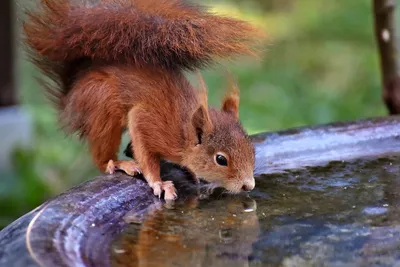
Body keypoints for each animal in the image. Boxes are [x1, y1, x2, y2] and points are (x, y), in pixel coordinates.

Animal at [23, 0, 264, 201]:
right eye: (221, 159)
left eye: (252, 150)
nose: (248, 186)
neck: (182, 129)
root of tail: (72, 92)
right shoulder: (147, 120)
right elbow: (146, 152)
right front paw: (159, 183)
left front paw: (189, 170)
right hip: (102, 108)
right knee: (103, 155)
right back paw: (118, 163)